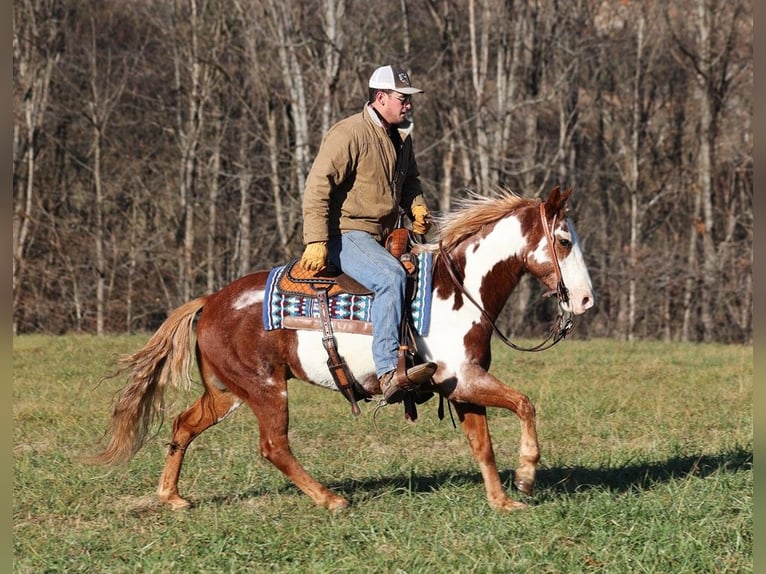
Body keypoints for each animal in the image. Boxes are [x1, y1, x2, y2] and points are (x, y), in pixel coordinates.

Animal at [91, 186, 600, 512]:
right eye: (563, 240)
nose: (584, 300)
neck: (459, 288)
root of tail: (210, 300)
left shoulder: (461, 384)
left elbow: (484, 445)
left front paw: (502, 500)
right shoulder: (465, 378)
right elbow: (525, 403)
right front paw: (528, 475)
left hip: (227, 391)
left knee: (184, 424)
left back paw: (172, 497)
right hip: (266, 390)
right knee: (273, 446)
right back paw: (331, 499)